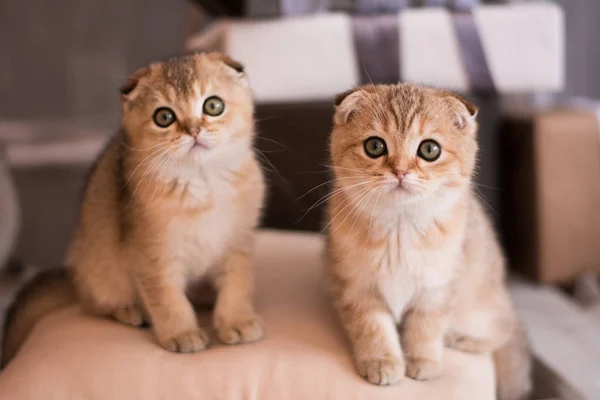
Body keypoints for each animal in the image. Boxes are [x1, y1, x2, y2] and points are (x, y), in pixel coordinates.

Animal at [64, 52, 264, 354]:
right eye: (164, 117)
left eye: (213, 105)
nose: (194, 130)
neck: (202, 182)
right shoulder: (151, 254)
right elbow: (168, 299)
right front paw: (182, 333)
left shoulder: (238, 242)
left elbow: (237, 284)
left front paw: (236, 321)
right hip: (99, 270)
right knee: (97, 302)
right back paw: (129, 311)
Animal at [328, 83, 528, 398]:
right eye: (375, 146)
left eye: (429, 149)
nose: (400, 171)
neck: (399, 229)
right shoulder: (356, 285)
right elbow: (372, 326)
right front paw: (381, 360)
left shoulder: (438, 286)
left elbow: (425, 326)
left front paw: (422, 361)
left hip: (483, 309)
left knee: (503, 332)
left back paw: (461, 339)